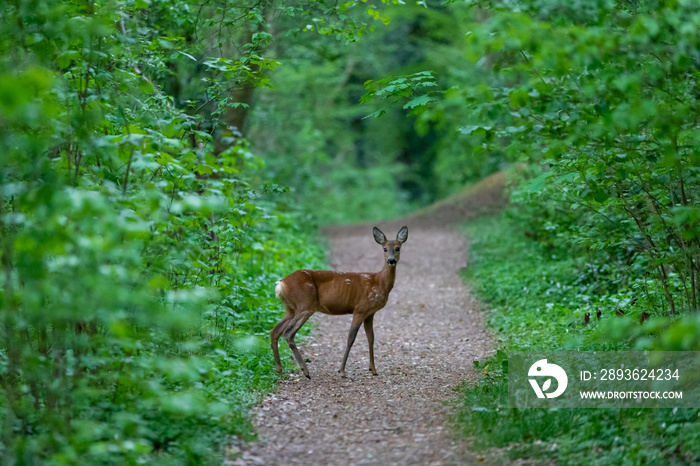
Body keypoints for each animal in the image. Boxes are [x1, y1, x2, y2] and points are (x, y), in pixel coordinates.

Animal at [270, 226, 408, 378]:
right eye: (384, 249)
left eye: (397, 248)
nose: (391, 260)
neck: (378, 282)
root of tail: (281, 284)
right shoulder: (360, 309)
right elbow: (351, 338)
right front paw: (342, 371)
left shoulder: (370, 313)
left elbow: (371, 338)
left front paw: (373, 369)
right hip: (305, 304)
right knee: (288, 332)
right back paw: (305, 371)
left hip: (290, 308)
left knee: (275, 331)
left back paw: (279, 368)